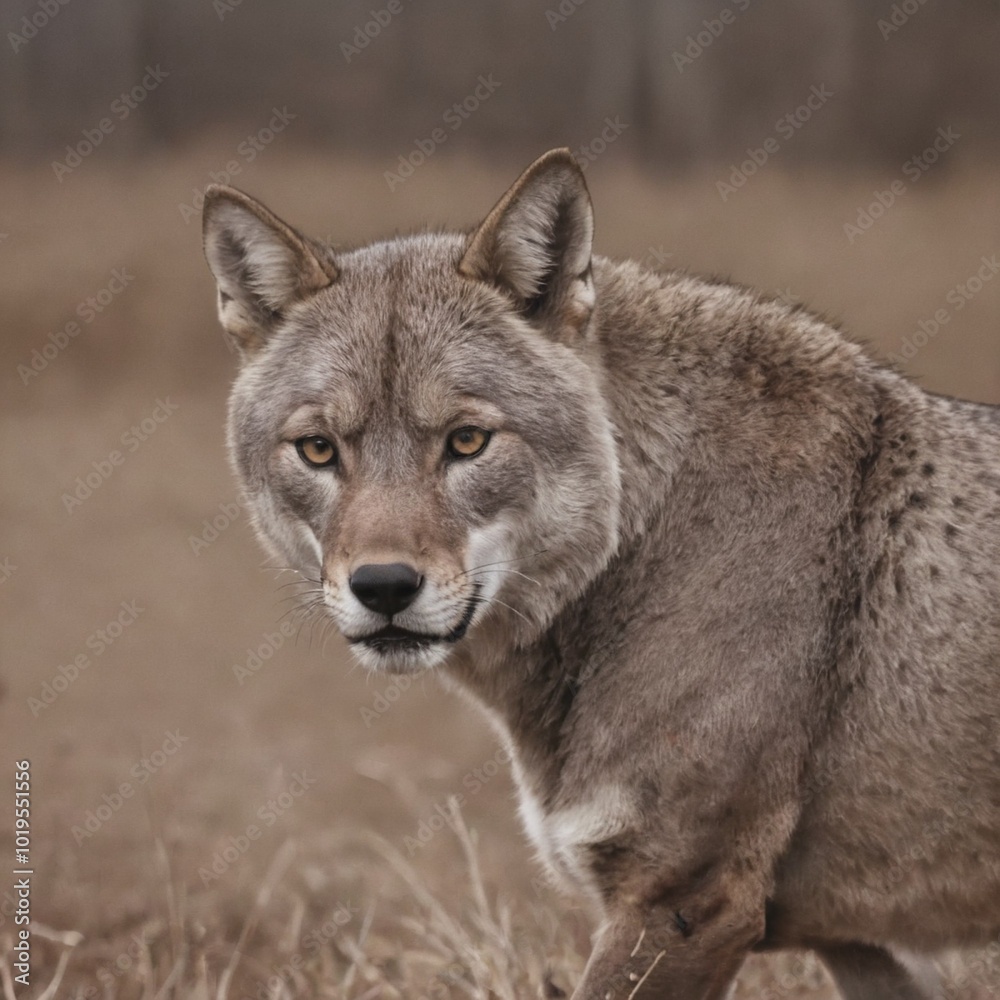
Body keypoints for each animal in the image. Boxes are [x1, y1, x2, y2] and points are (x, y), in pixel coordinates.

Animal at [202, 149, 1000, 999]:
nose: (383, 587)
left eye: (467, 442)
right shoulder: (866, 946)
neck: (643, 544)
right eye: (319, 450)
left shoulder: (682, 900)